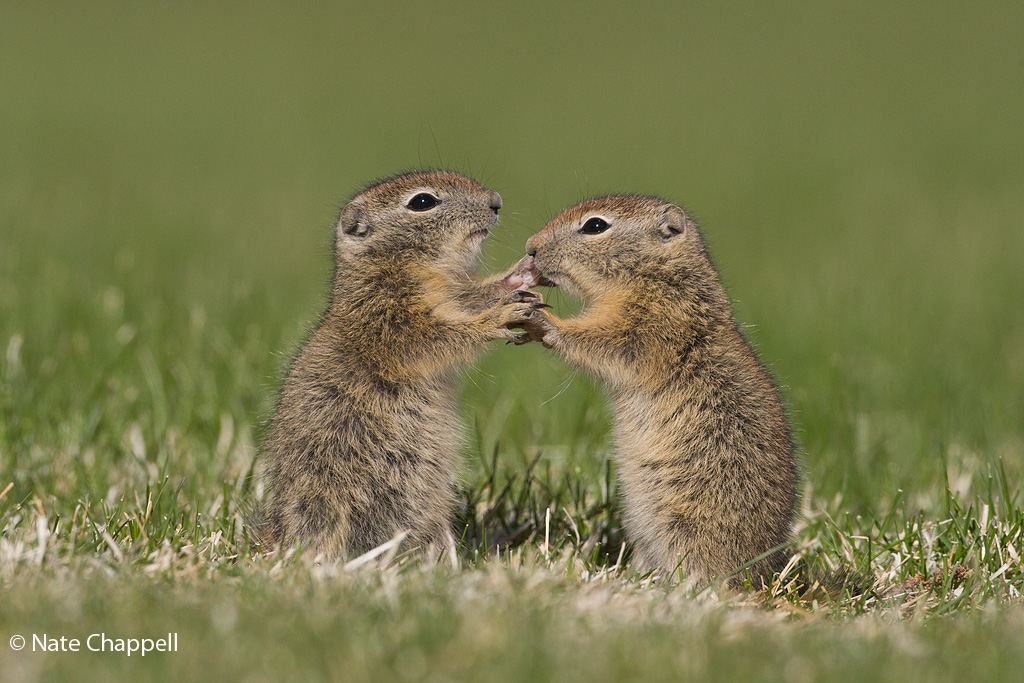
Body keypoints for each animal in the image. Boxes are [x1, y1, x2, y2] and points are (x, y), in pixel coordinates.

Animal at [257, 170, 545, 562]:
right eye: (422, 202)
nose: (496, 201)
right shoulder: (390, 318)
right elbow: (441, 337)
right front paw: (498, 317)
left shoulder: (453, 296)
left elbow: (472, 299)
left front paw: (519, 277)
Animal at [515, 195, 797, 589]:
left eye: (595, 226)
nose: (531, 247)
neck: (658, 276)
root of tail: (760, 576)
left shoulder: (651, 327)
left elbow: (604, 344)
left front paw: (543, 321)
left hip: (686, 527)